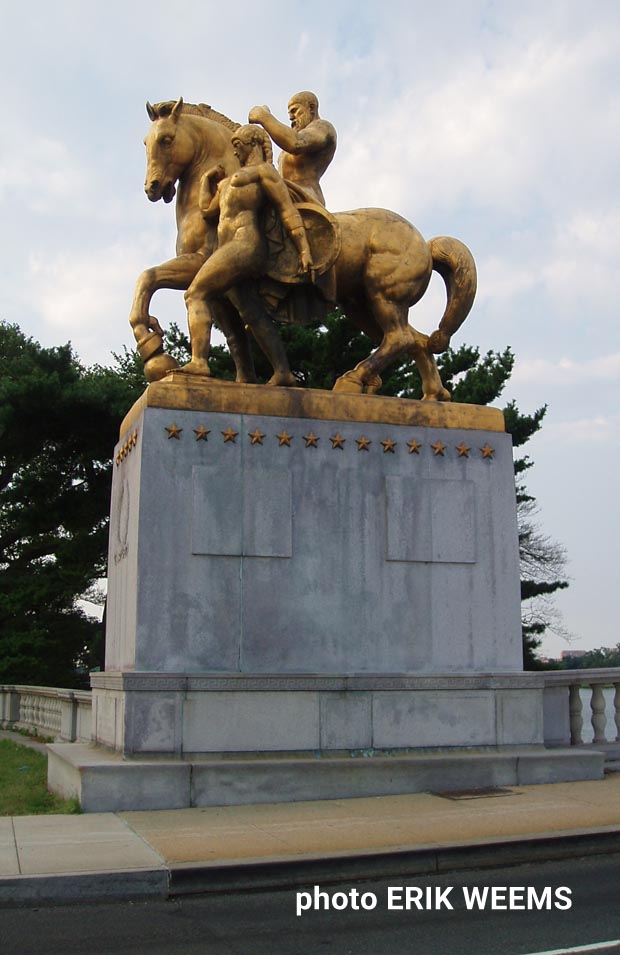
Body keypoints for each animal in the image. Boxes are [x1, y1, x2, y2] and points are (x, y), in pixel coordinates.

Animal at [133, 97, 478, 396]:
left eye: (166, 139)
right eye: (145, 143)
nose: (152, 188)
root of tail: (424, 243)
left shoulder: (203, 264)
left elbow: (151, 280)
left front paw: (153, 347)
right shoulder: (219, 287)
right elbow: (227, 330)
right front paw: (237, 382)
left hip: (383, 296)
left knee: (399, 337)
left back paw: (353, 379)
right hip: (360, 304)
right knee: (415, 340)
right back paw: (434, 397)